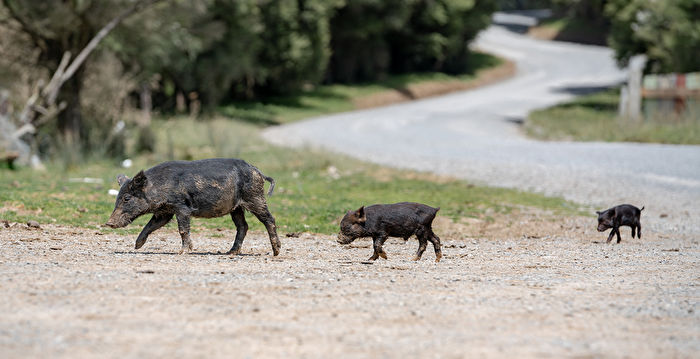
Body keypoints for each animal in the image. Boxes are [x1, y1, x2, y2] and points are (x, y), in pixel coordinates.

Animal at [105, 158, 280, 256]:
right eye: (118, 198)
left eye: (127, 198)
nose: (108, 223)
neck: (157, 188)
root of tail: (258, 171)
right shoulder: (164, 212)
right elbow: (150, 226)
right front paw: (137, 246)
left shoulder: (181, 207)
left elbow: (183, 229)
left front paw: (182, 252)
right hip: (236, 208)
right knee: (243, 225)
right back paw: (230, 252)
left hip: (255, 198)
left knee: (269, 219)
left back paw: (276, 252)